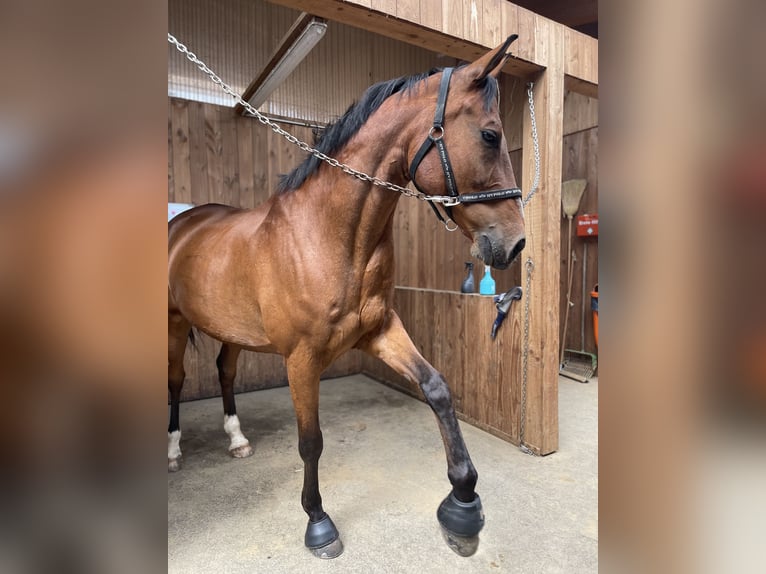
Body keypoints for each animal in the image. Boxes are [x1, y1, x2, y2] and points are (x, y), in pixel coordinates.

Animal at [168, 35, 528, 560]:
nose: (516, 243)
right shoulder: (301, 359)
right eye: (490, 135)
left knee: (225, 371)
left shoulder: (380, 330)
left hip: (231, 331)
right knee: (176, 380)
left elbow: (437, 389)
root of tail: (182, 223)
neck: (328, 234)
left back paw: (236, 440)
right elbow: (311, 441)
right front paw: (318, 523)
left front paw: (463, 508)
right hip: (174, 322)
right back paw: (173, 450)